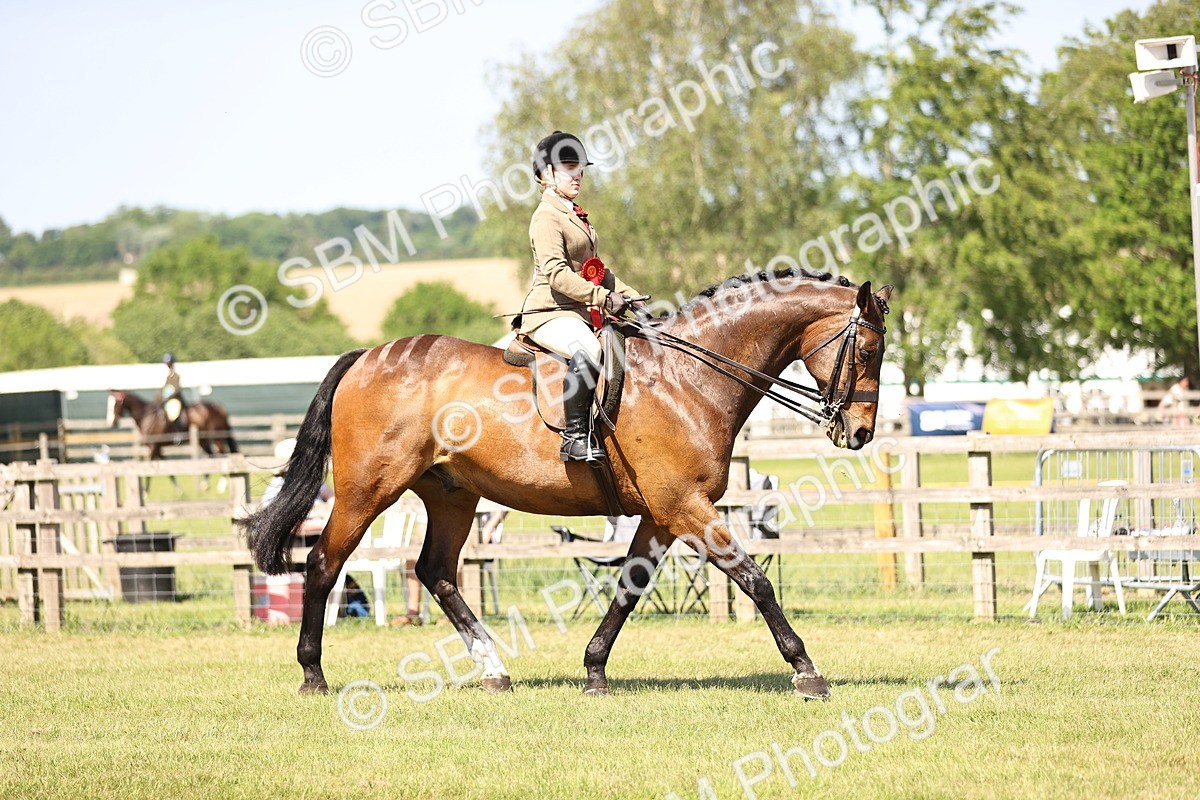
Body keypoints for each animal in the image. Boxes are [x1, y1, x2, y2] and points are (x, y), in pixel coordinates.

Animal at [107, 390, 239, 460]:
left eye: (116, 404)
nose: (111, 423)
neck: (147, 416)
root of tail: (218, 407)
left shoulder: (153, 446)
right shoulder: (157, 448)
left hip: (218, 438)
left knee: (222, 454)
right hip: (203, 440)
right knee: (212, 455)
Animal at [241, 268, 892, 699]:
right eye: (866, 349)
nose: (860, 432)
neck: (689, 377)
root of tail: (366, 356)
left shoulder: (661, 515)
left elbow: (630, 586)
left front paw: (595, 669)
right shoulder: (686, 507)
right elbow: (755, 580)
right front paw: (807, 672)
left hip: (451, 494)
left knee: (436, 573)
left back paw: (494, 670)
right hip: (367, 490)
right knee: (323, 563)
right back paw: (312, 674)